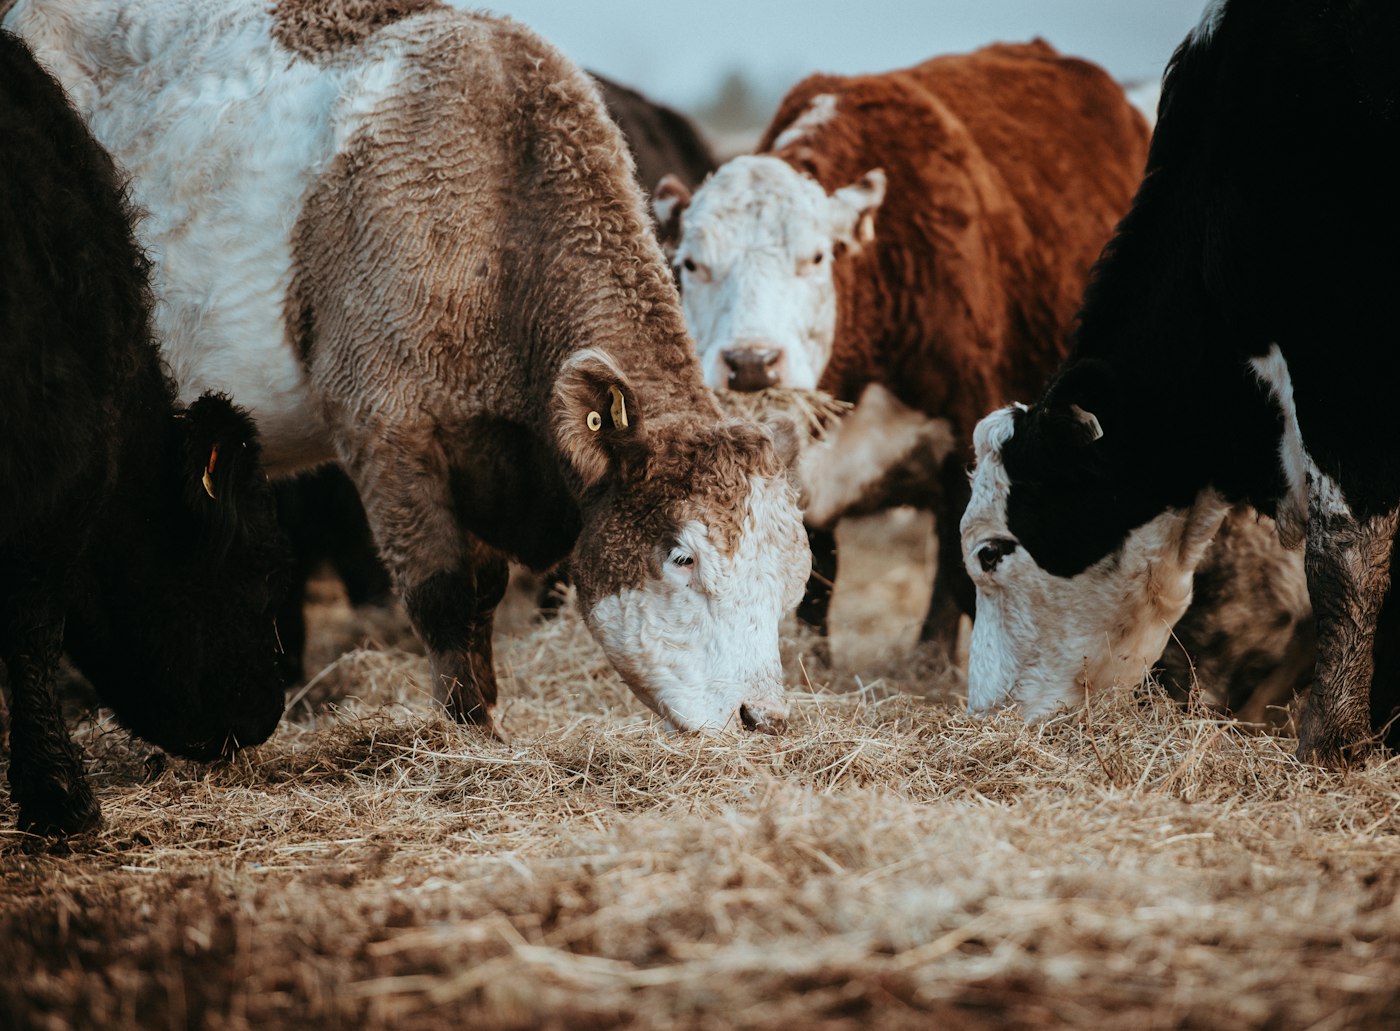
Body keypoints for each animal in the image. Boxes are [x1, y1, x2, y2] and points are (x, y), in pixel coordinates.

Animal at [6, 0, 810, 738]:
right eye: (682, 557)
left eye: (793, 574)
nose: (763, 716)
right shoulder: (384, 427)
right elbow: (443, 592)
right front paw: (470, 734)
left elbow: (482, 592)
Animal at [654, 41, 1151, 648]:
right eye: (690, 263)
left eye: (815, 257)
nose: (751, 363)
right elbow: (816, 582)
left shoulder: (968, 445)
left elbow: (965, 574)